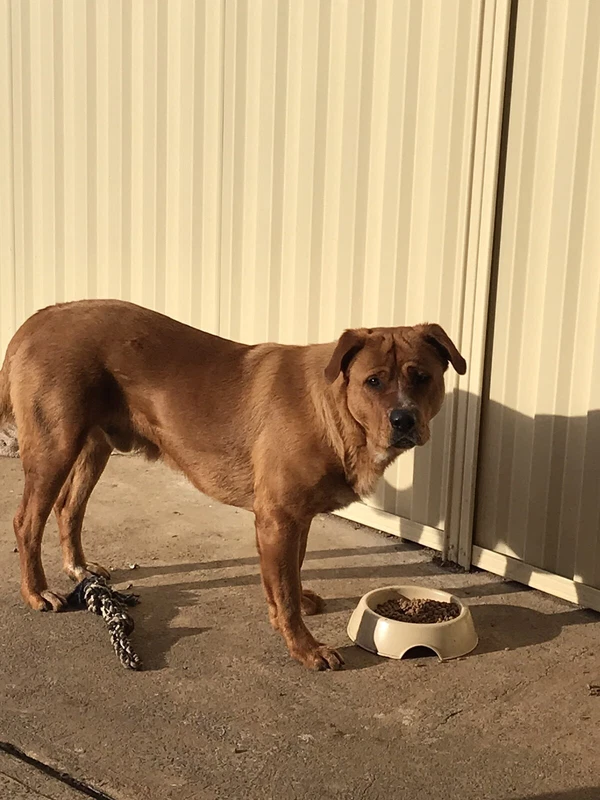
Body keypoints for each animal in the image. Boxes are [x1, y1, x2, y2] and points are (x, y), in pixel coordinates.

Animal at [0, 300, 466, 670]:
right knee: (27, 521)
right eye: (373, 381)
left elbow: (289, 574)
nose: (403, 420)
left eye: (421, 377)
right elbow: (284, 586)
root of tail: (40, 318)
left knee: (69, 507)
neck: (333, 410)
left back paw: (78, 568)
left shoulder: (294, 518)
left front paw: (292, 607)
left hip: (94, 446)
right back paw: (37, 592)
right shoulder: (278, 517)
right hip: (54, 447)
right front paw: (305, 648)